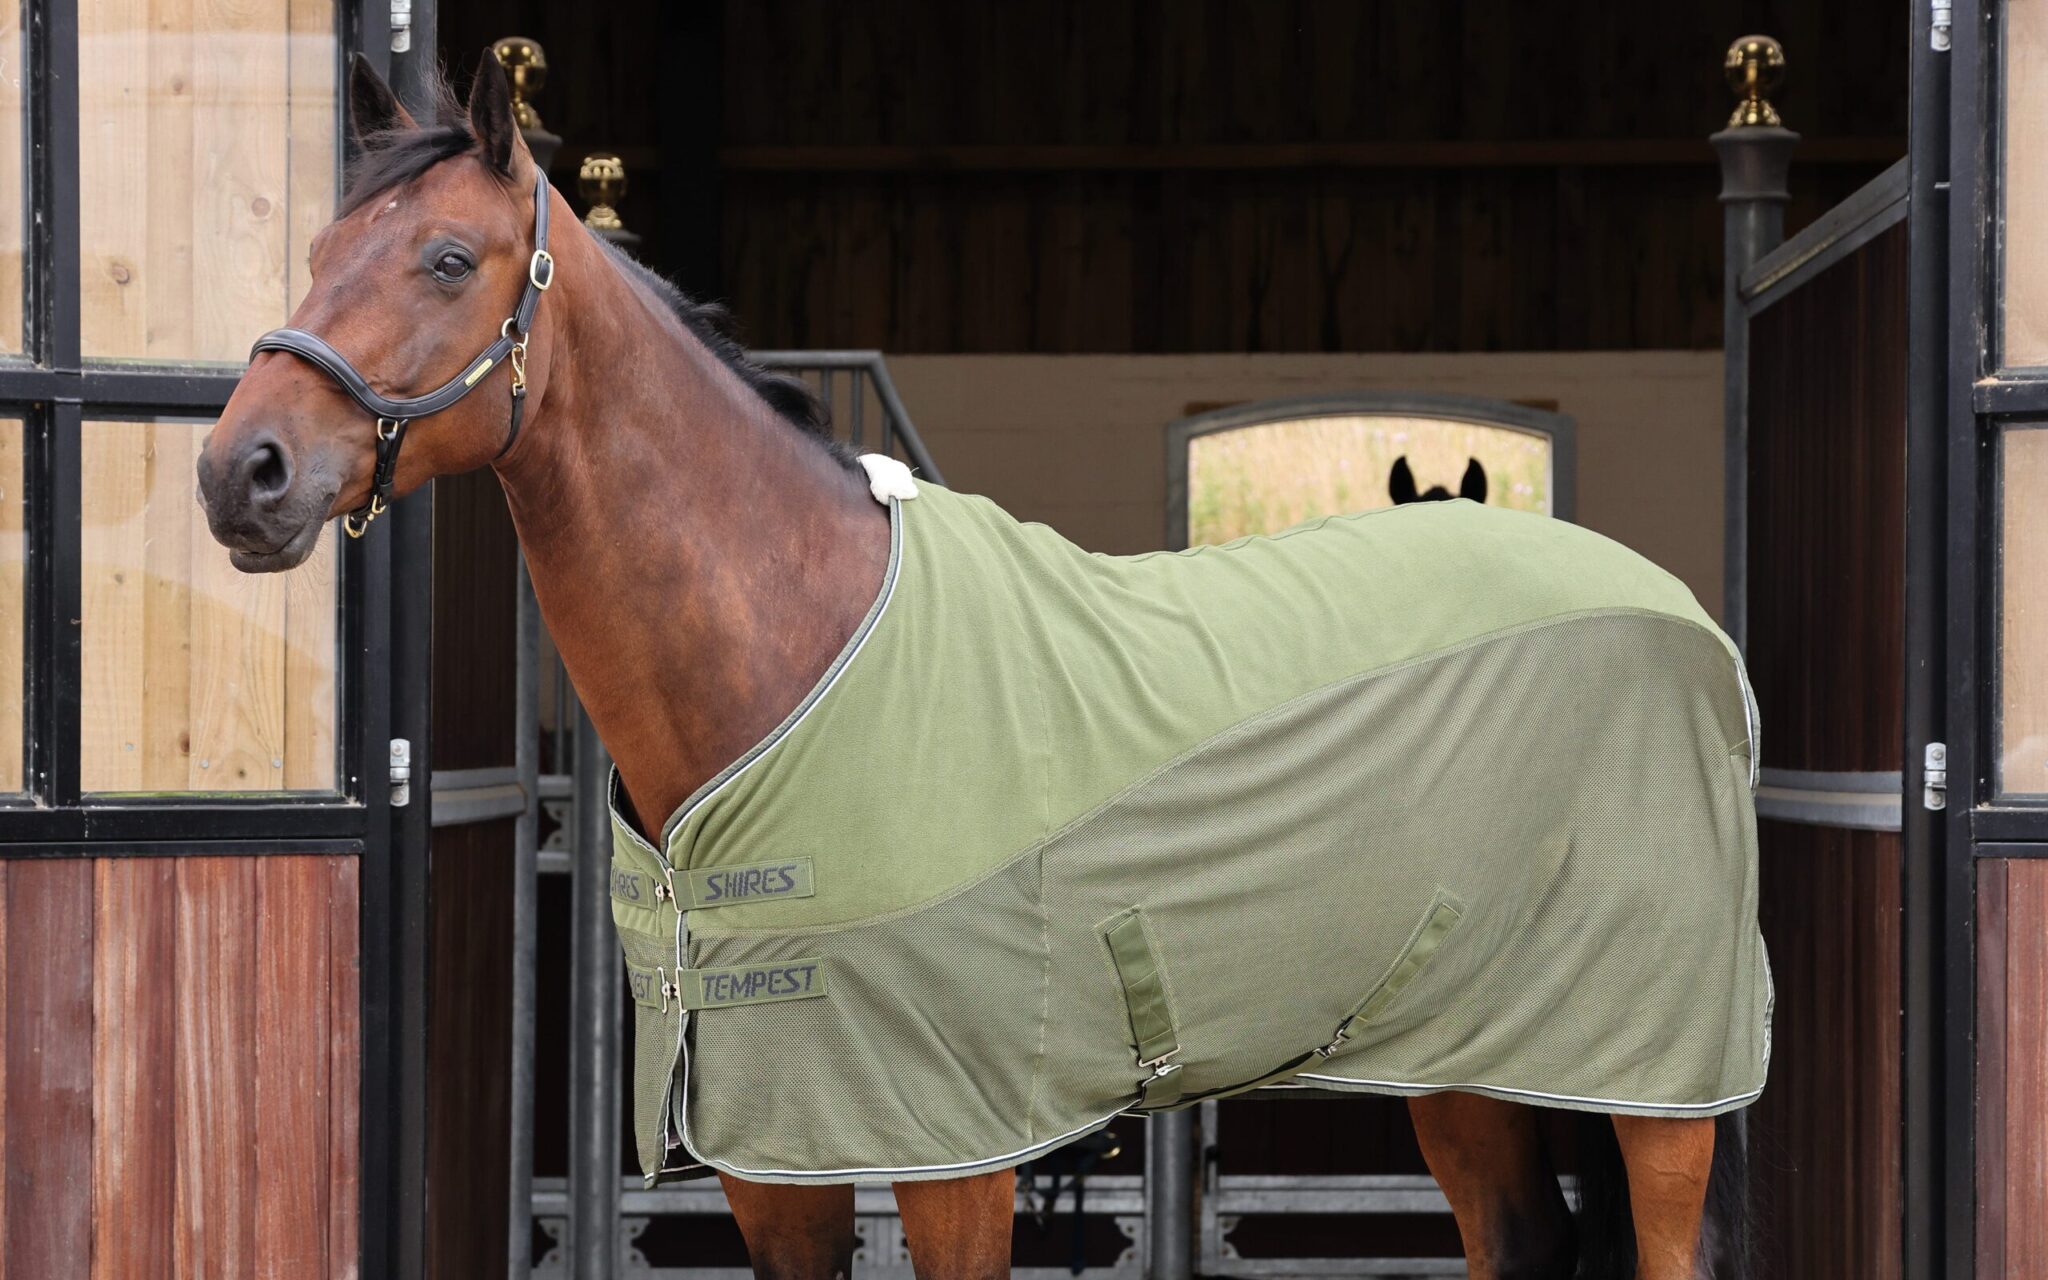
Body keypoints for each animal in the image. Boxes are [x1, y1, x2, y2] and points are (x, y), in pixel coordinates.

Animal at [195, 51, 1758, 1280]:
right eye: (319, 253)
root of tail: (1684, 618)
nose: (239, 473)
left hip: (1657, 1083)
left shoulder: (955, 1157)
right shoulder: (777, 1160)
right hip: (1472, 1057)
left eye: (447, 260)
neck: (800, 663)